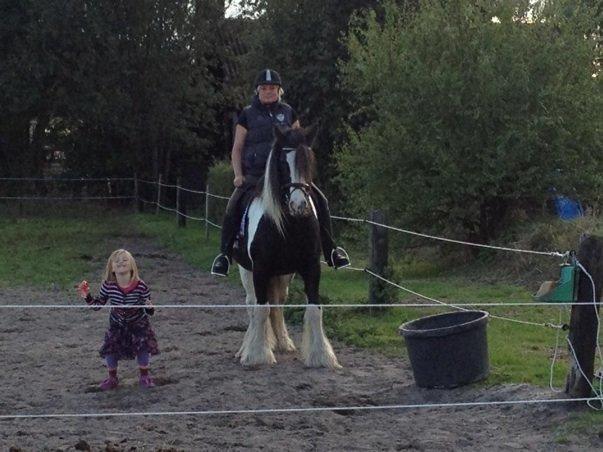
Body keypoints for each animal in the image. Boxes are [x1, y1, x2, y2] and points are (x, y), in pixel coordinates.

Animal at [234, 125, 342, 370]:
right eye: (283, 164)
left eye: (309, 162)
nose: (299, 205)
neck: (289, 226)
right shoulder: (260, 269)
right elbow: (261, 308)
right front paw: (258, 355)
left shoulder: (311, 267)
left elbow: (314, 308)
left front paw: (321, 356)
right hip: (247, 271)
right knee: (252, 304)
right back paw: (246, 348)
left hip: (283, 275)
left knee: (278, 304)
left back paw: (283, 343)